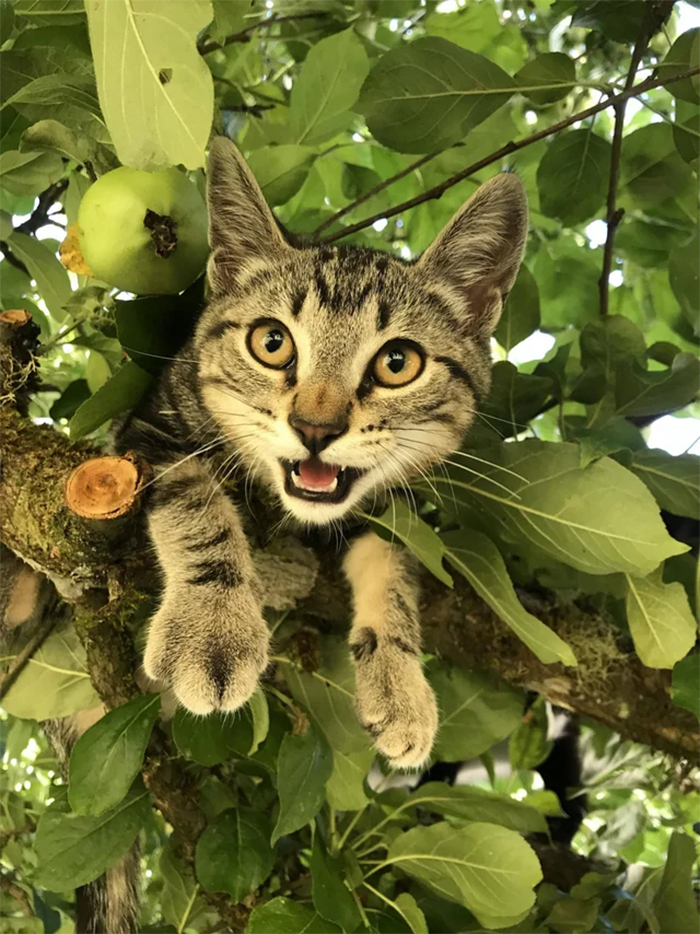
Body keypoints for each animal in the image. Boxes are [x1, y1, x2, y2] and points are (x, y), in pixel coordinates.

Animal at [117, 137, 528, 768]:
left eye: (398, 362)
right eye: (271, 342)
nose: (314, 428)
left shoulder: (388, 508)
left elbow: (394, 565)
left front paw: (399, 679)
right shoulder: (150, 431)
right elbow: (197, 505)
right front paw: (213, 628)